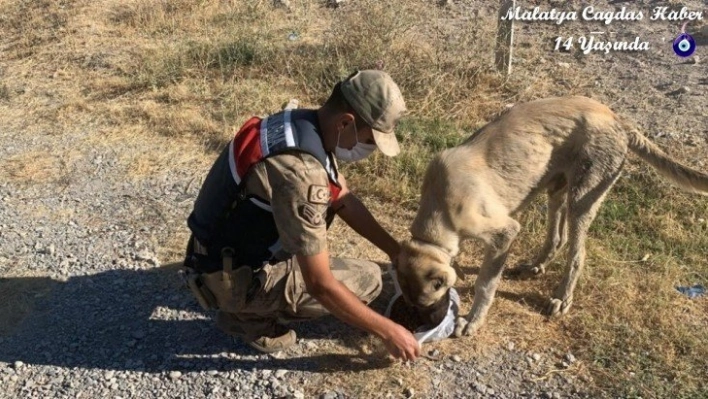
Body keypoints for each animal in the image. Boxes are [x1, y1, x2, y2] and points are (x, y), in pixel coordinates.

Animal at [398, 96, 708, 338]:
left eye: (429, 303)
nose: (424, 325)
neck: (440, 209)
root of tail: (618, 119)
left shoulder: (504, 233)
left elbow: (485, 284)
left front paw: (473, 321)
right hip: (556, 189)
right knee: (557, 238)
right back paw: (536, 265)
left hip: (581, 199)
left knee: (577, 254)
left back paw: (561, 298)